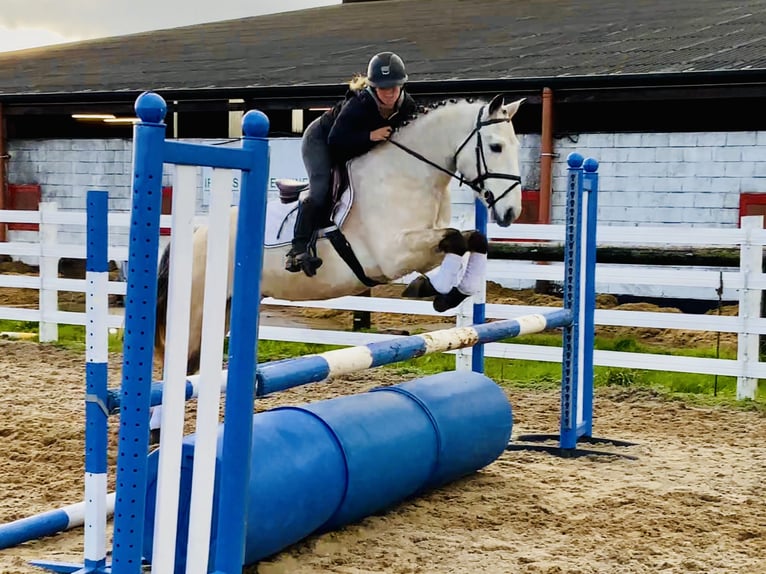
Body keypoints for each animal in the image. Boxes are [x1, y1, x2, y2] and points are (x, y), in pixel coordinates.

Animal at [156, 94, 525, 375]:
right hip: (196, 313)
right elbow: (456, 239)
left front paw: (445, 292)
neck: (406, 175)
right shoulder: (395, 255)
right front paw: (432, 290)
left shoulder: (423, 242)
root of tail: (197, 234)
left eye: (516, 146)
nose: (510, 213)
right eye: (495, 147)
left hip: (226, 310)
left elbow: (471, 240)